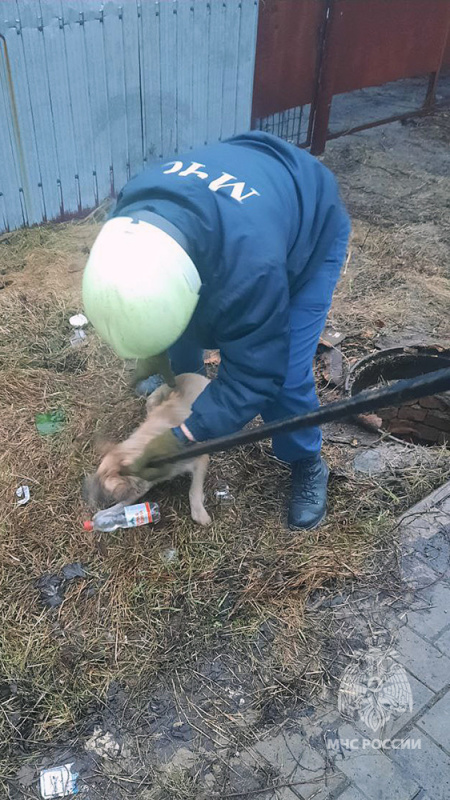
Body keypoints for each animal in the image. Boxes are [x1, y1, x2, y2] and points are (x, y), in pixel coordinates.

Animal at [84, 374, 211, 524]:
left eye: (107, 490)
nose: (87, 496)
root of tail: (196, 375)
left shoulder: (200, 459)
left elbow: (194, 490)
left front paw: (200, 513)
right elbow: (123, 505)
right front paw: (104, 516)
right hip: (152, 401)